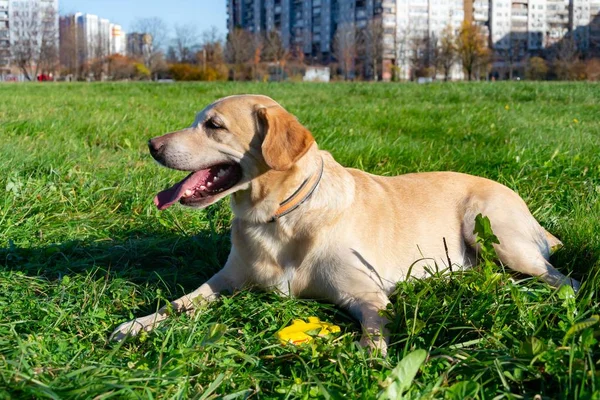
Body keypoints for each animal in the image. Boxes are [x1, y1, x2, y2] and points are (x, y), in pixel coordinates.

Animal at [111, 94, 576, 354]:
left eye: (214, 125)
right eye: (197, 121)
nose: (152, 145)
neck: (278, 218)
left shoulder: (365, 292)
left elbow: (373, 327)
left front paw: (368, 356)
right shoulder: (225, 281)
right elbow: (180, 302)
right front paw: (138, 324)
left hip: (494, 231)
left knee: (562, 279)